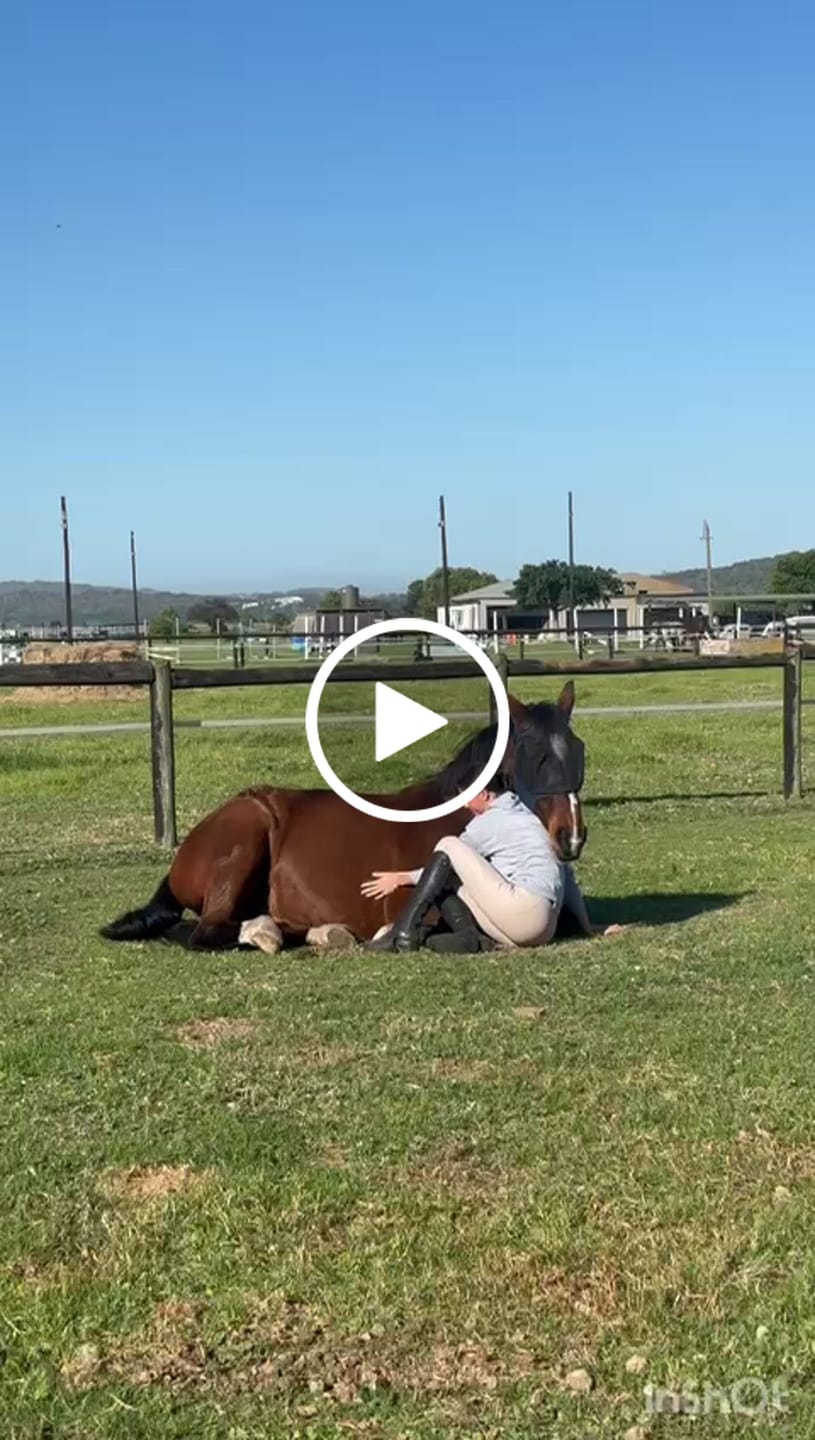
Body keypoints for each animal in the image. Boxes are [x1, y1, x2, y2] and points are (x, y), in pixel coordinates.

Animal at [101, 683, 586, 951]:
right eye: (537, 757)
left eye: (578, 750)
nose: (572, 837)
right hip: (245, 840)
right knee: (205, 932)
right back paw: (266, 934)